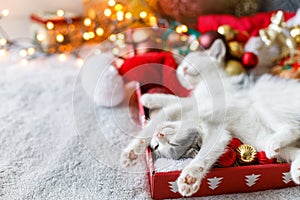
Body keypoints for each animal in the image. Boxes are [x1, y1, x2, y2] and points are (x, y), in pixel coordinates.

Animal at [120, 39, 300, 197]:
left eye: (192, 60)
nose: (184, 68)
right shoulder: (215, 127)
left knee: (293, 128)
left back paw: (276, 143)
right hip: (261, 139)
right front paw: (149, 100)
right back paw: (296, 169)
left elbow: (175, 107)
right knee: (291, 148)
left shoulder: (209, 104)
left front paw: (189, 177)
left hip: (262, 101)